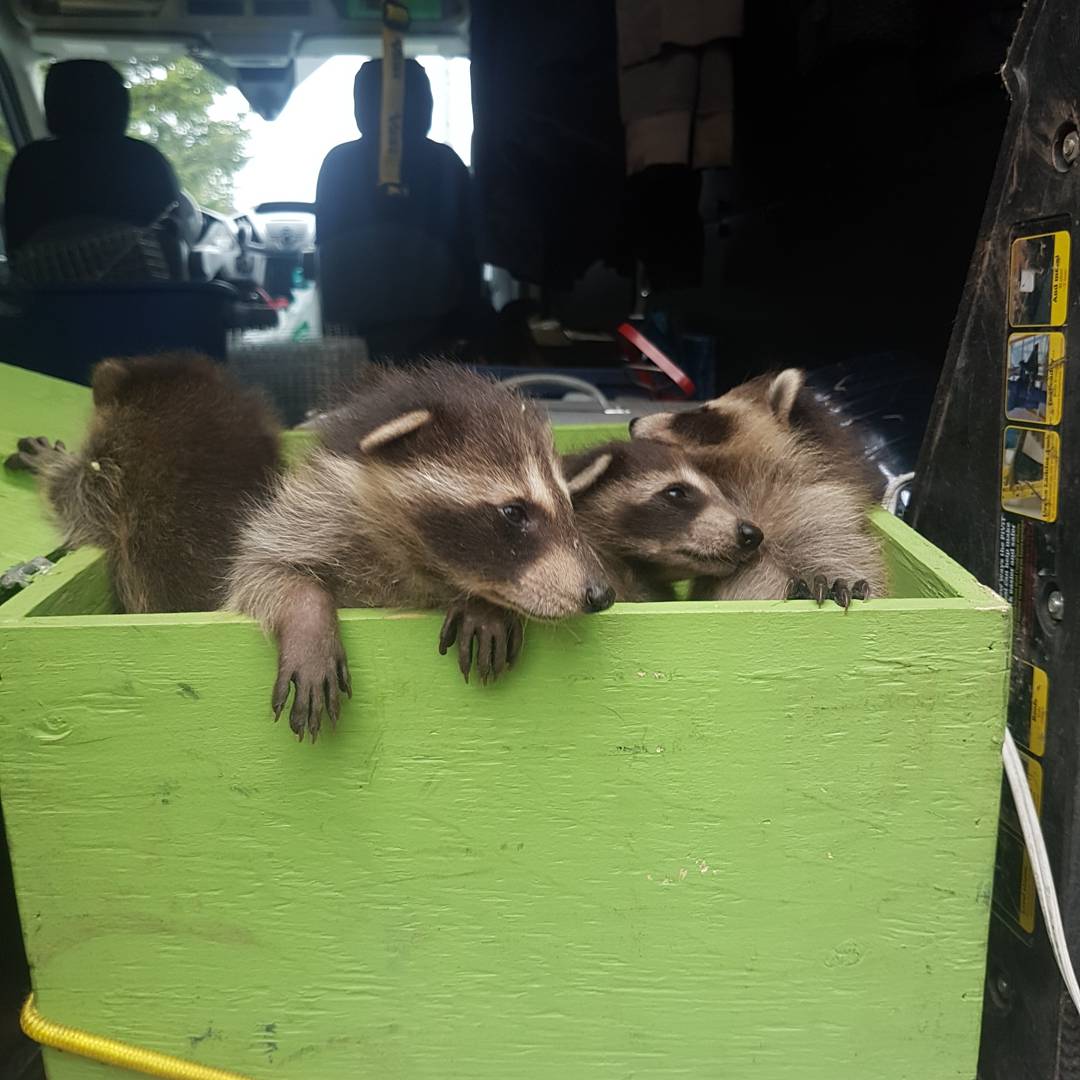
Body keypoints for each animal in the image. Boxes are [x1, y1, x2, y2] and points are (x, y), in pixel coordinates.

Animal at [225, 361, 615, 743]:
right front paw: (309, 621)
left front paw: (484, 604)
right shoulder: (310, 518)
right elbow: (258, 572)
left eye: (569, 503)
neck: (415, 557)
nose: (602, 593)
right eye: (514, 512)